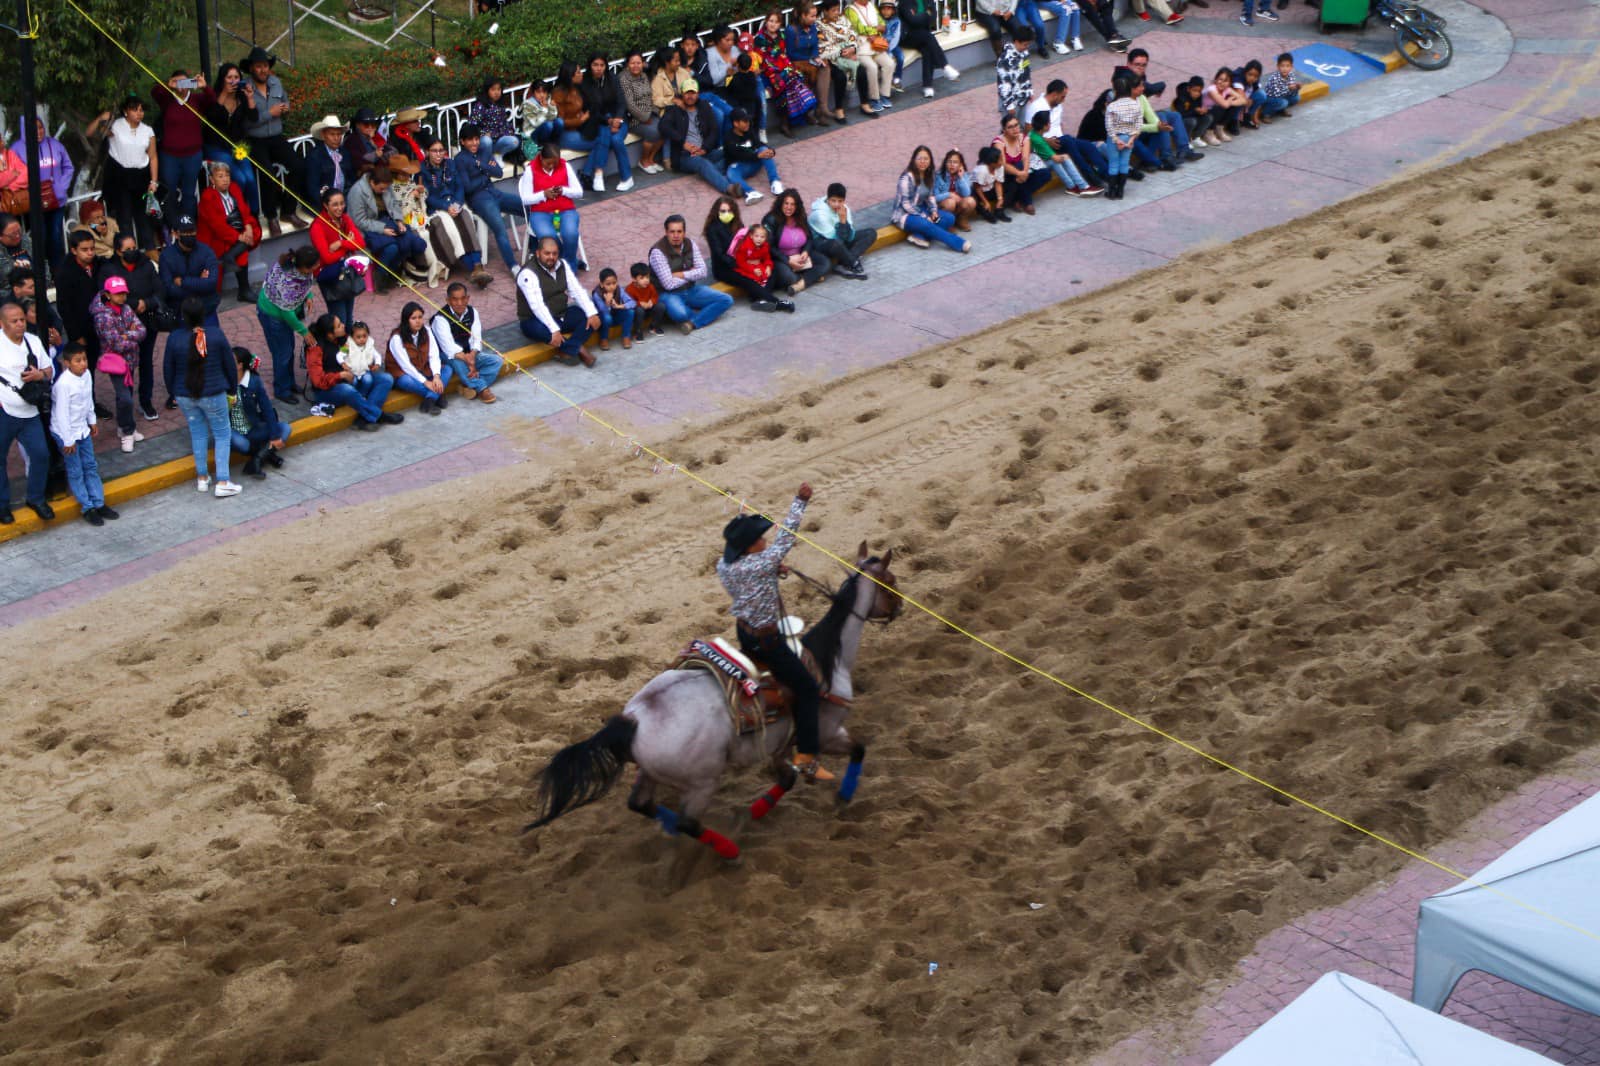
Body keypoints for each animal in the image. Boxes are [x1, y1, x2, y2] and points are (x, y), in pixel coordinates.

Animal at [524, 541, 902, 864]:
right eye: (890, 582)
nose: (899, 607)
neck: (828, 660)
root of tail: (633, 719)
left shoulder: (779, 746)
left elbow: (786, 779)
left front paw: (754, 812)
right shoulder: (827, 732)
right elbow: (858, 750)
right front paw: (842, 798)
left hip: (652, 772)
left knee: (641, 803)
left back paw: (671, 825)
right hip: (702, 782)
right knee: (689, 823)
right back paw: (730, 852)